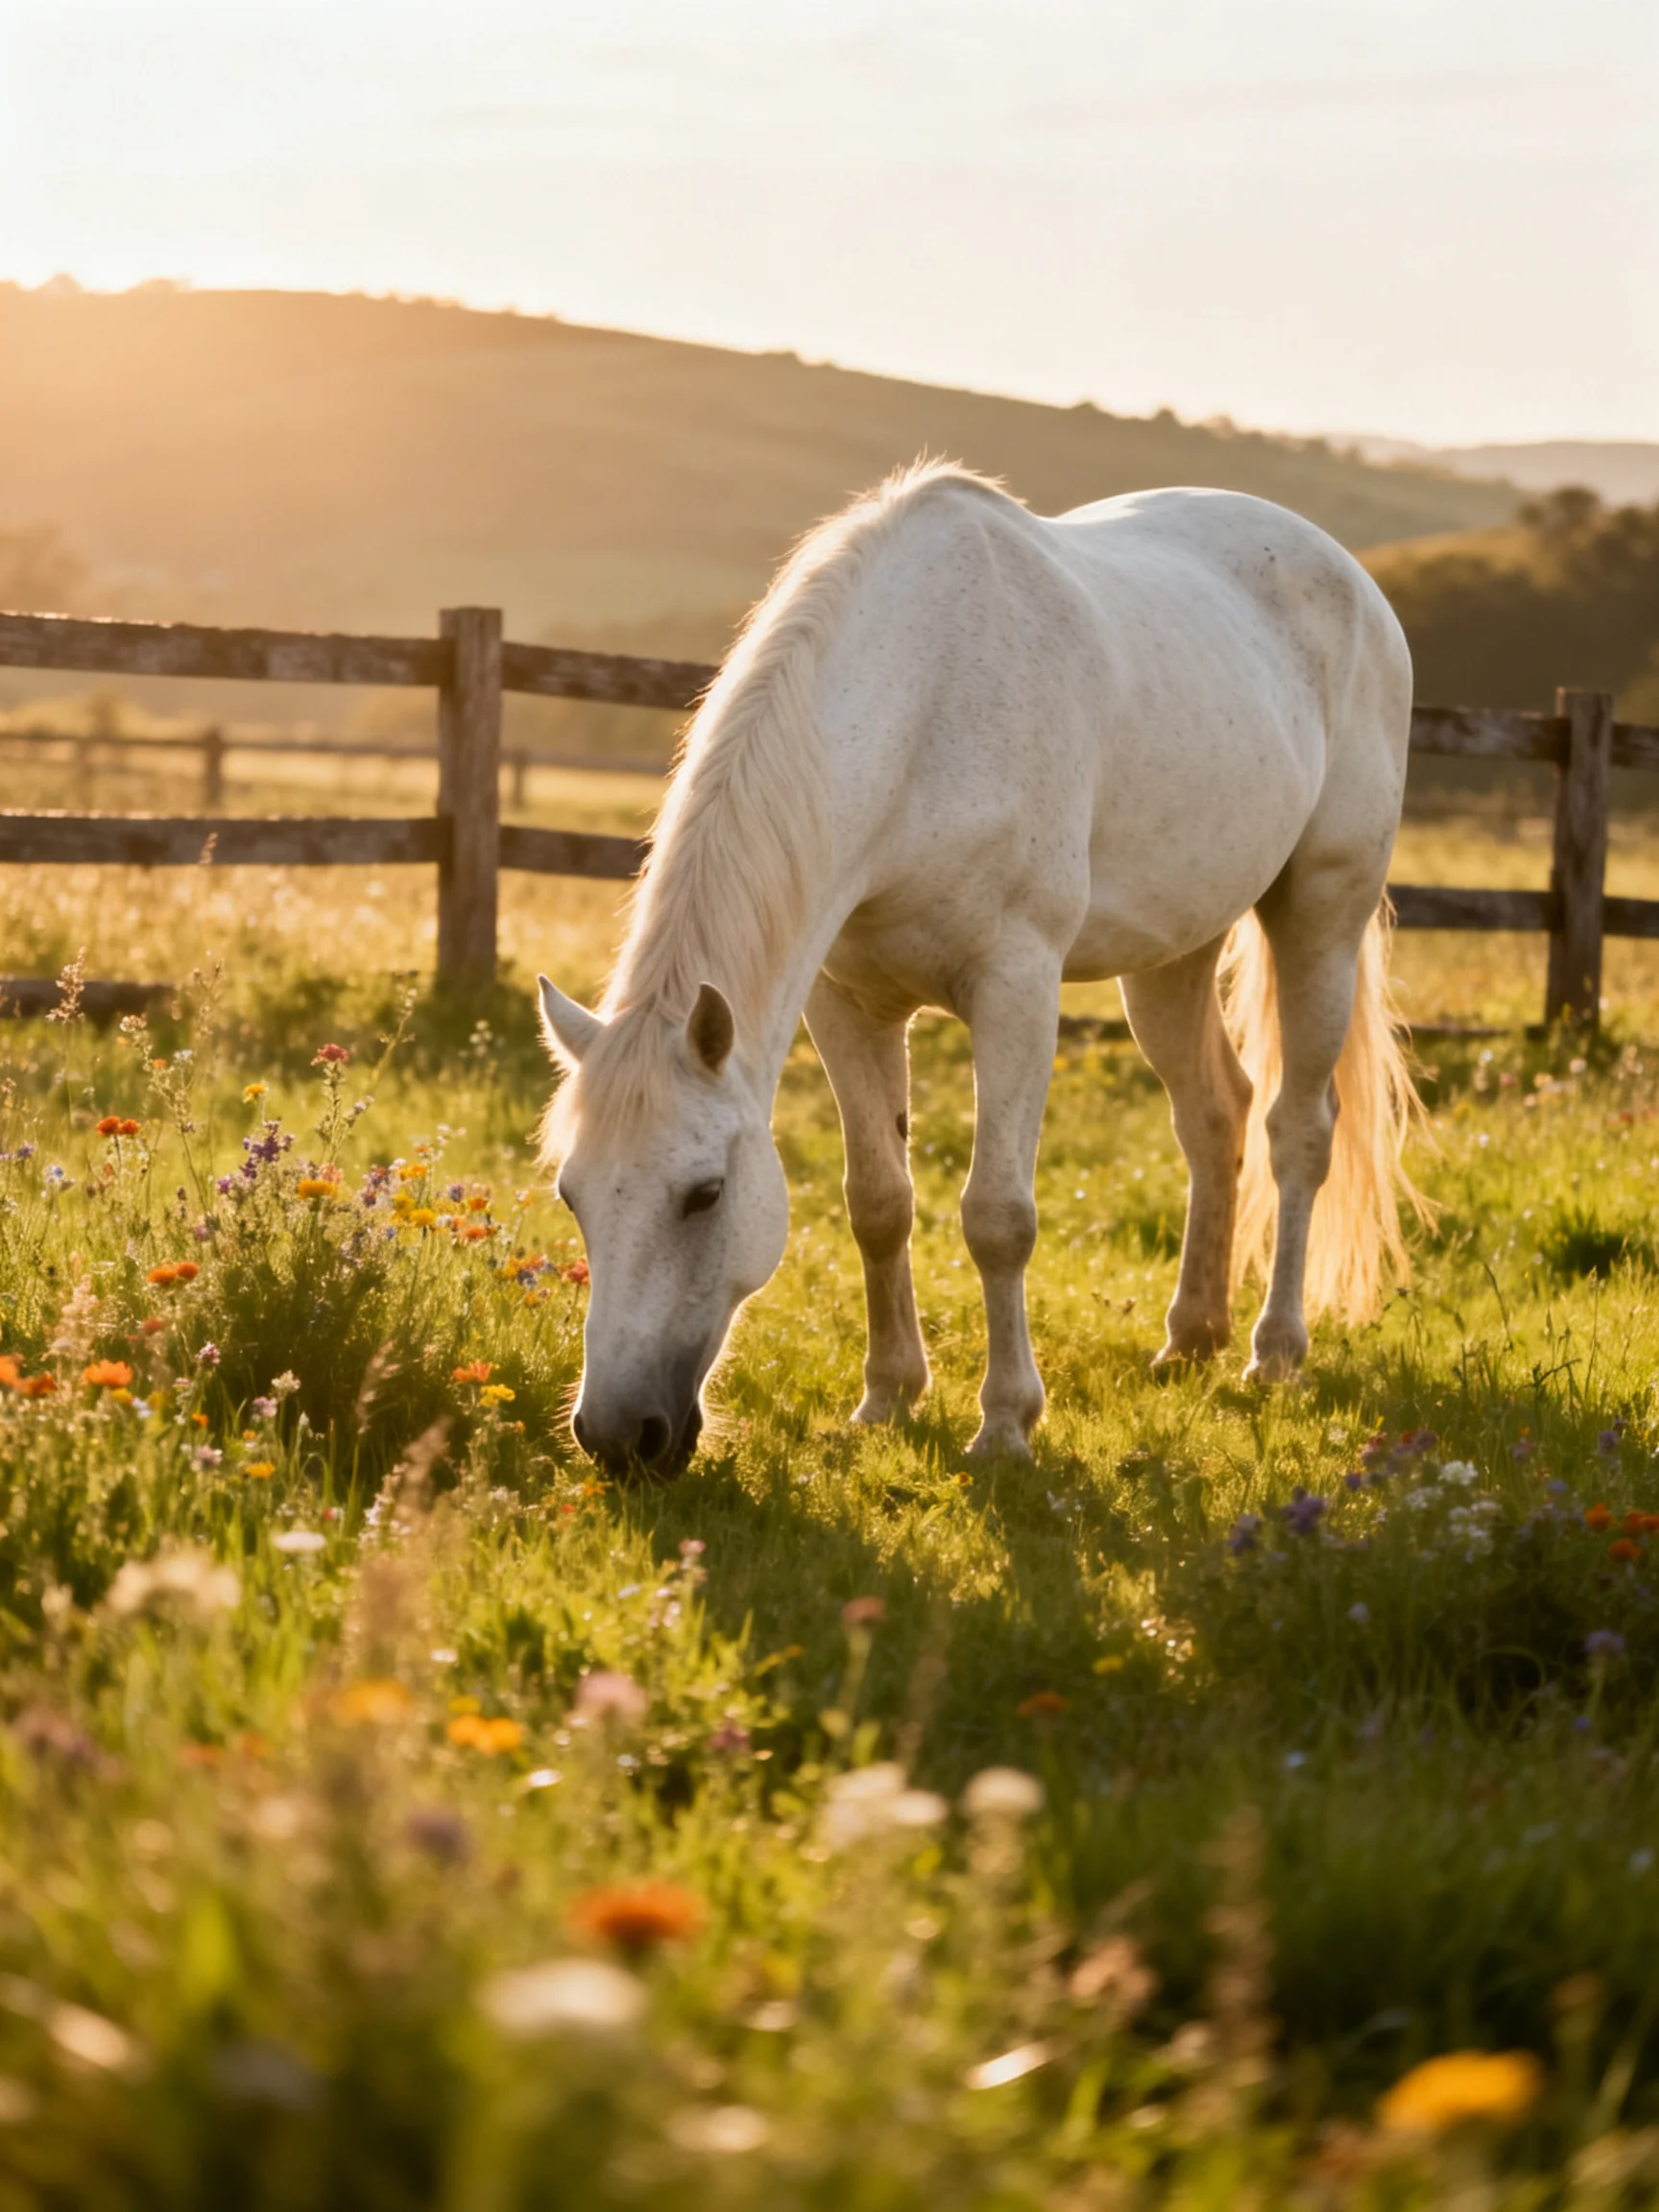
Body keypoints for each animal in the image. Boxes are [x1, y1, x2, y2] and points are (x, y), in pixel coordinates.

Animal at [536, 462, 1425, 1474]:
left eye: (705, 1195)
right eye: (571, 1194)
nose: (616, 1436)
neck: (922, 713)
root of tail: (1352, 579)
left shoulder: (1016, 990)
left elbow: (998, 1216)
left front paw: (1004, 1424)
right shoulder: (849, 1005)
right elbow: (878, 1202)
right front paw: (888, 1398)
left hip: (1321, 915)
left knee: (1297, 1130)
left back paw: (1273, 1352)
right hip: (1171, 956)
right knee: (1214, 1115)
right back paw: (1190, 1338)